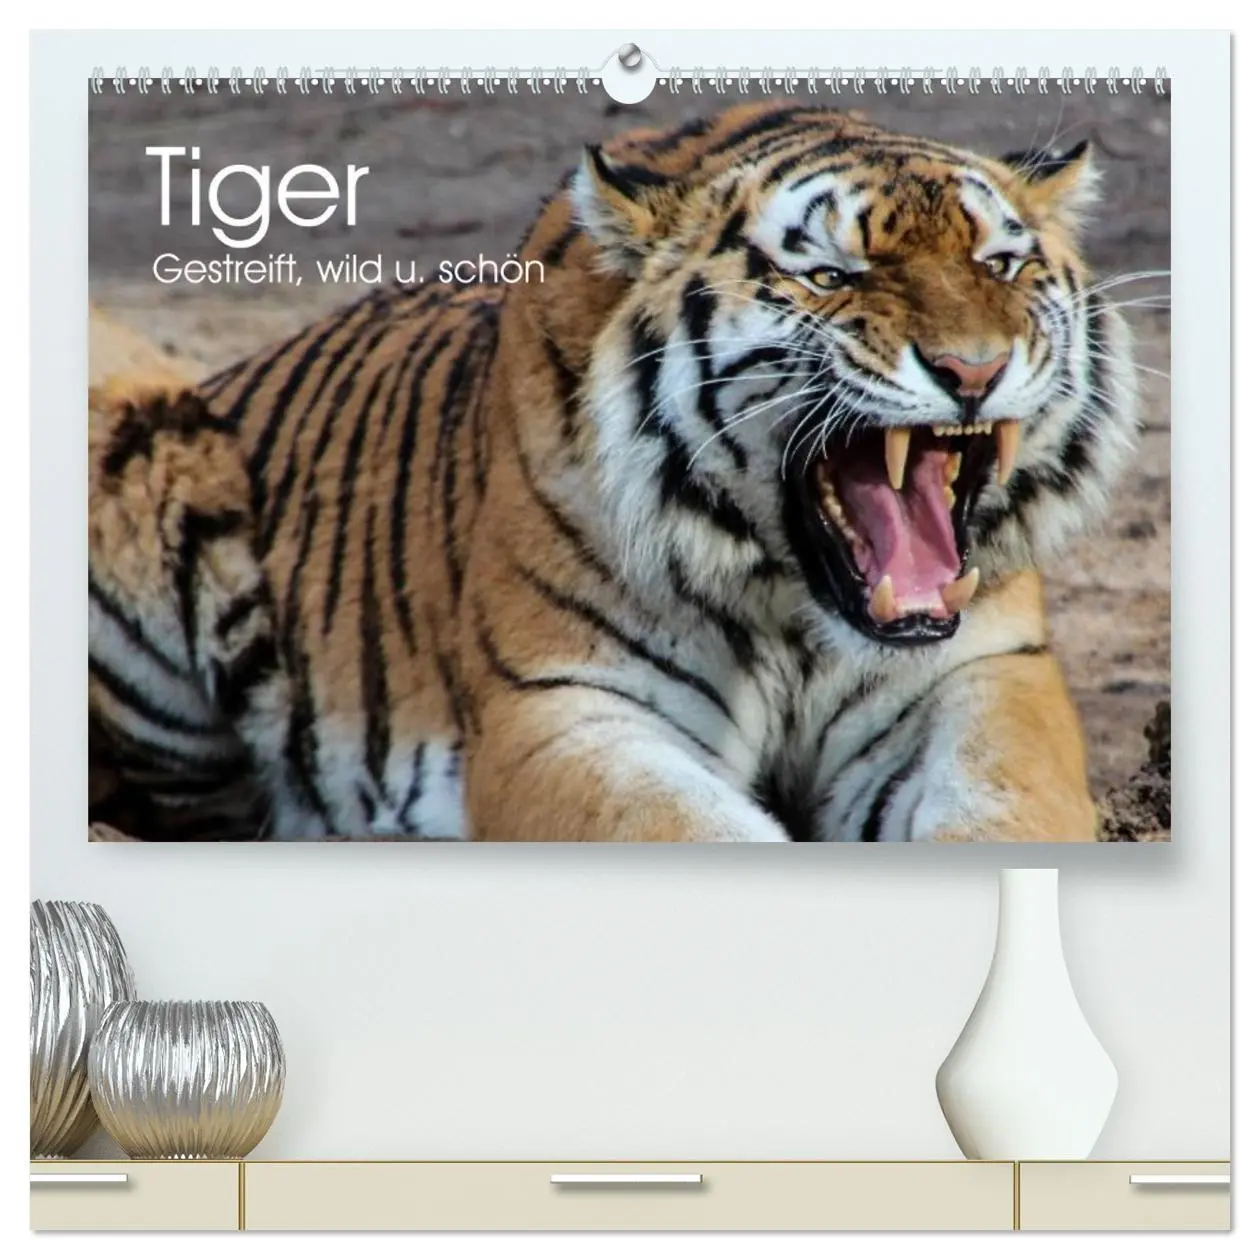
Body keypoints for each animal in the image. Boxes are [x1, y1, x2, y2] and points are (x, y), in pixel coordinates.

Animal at [87, 100, 1140, 843]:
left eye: (999, 264)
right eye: (829, 277)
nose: (973, 371)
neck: (793, 608)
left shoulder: (984, 674)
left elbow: (1007, 808)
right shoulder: (566, 708)